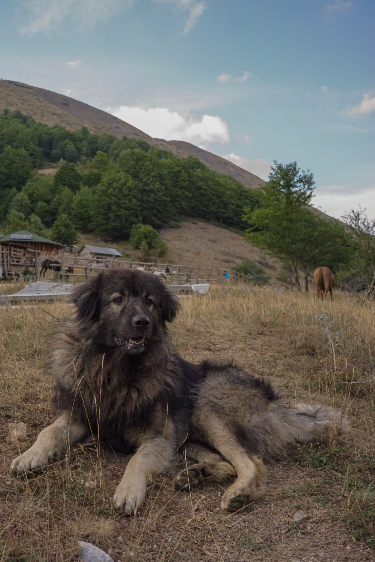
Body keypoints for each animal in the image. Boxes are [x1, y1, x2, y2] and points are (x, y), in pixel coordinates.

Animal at [11, 266, 350, 512]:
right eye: (118, 299)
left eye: (149, 301)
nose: (142, 322)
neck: (116, 369)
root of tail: (276, 404)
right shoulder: (79, 414)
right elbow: (48, 432)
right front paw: (28, 456)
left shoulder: (160, 435)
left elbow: (137, 460)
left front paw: (128, 490)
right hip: (190, 433)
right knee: (224, 463)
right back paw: (195, 475)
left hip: (205, 404)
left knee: (250, 461)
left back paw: (237, 493)